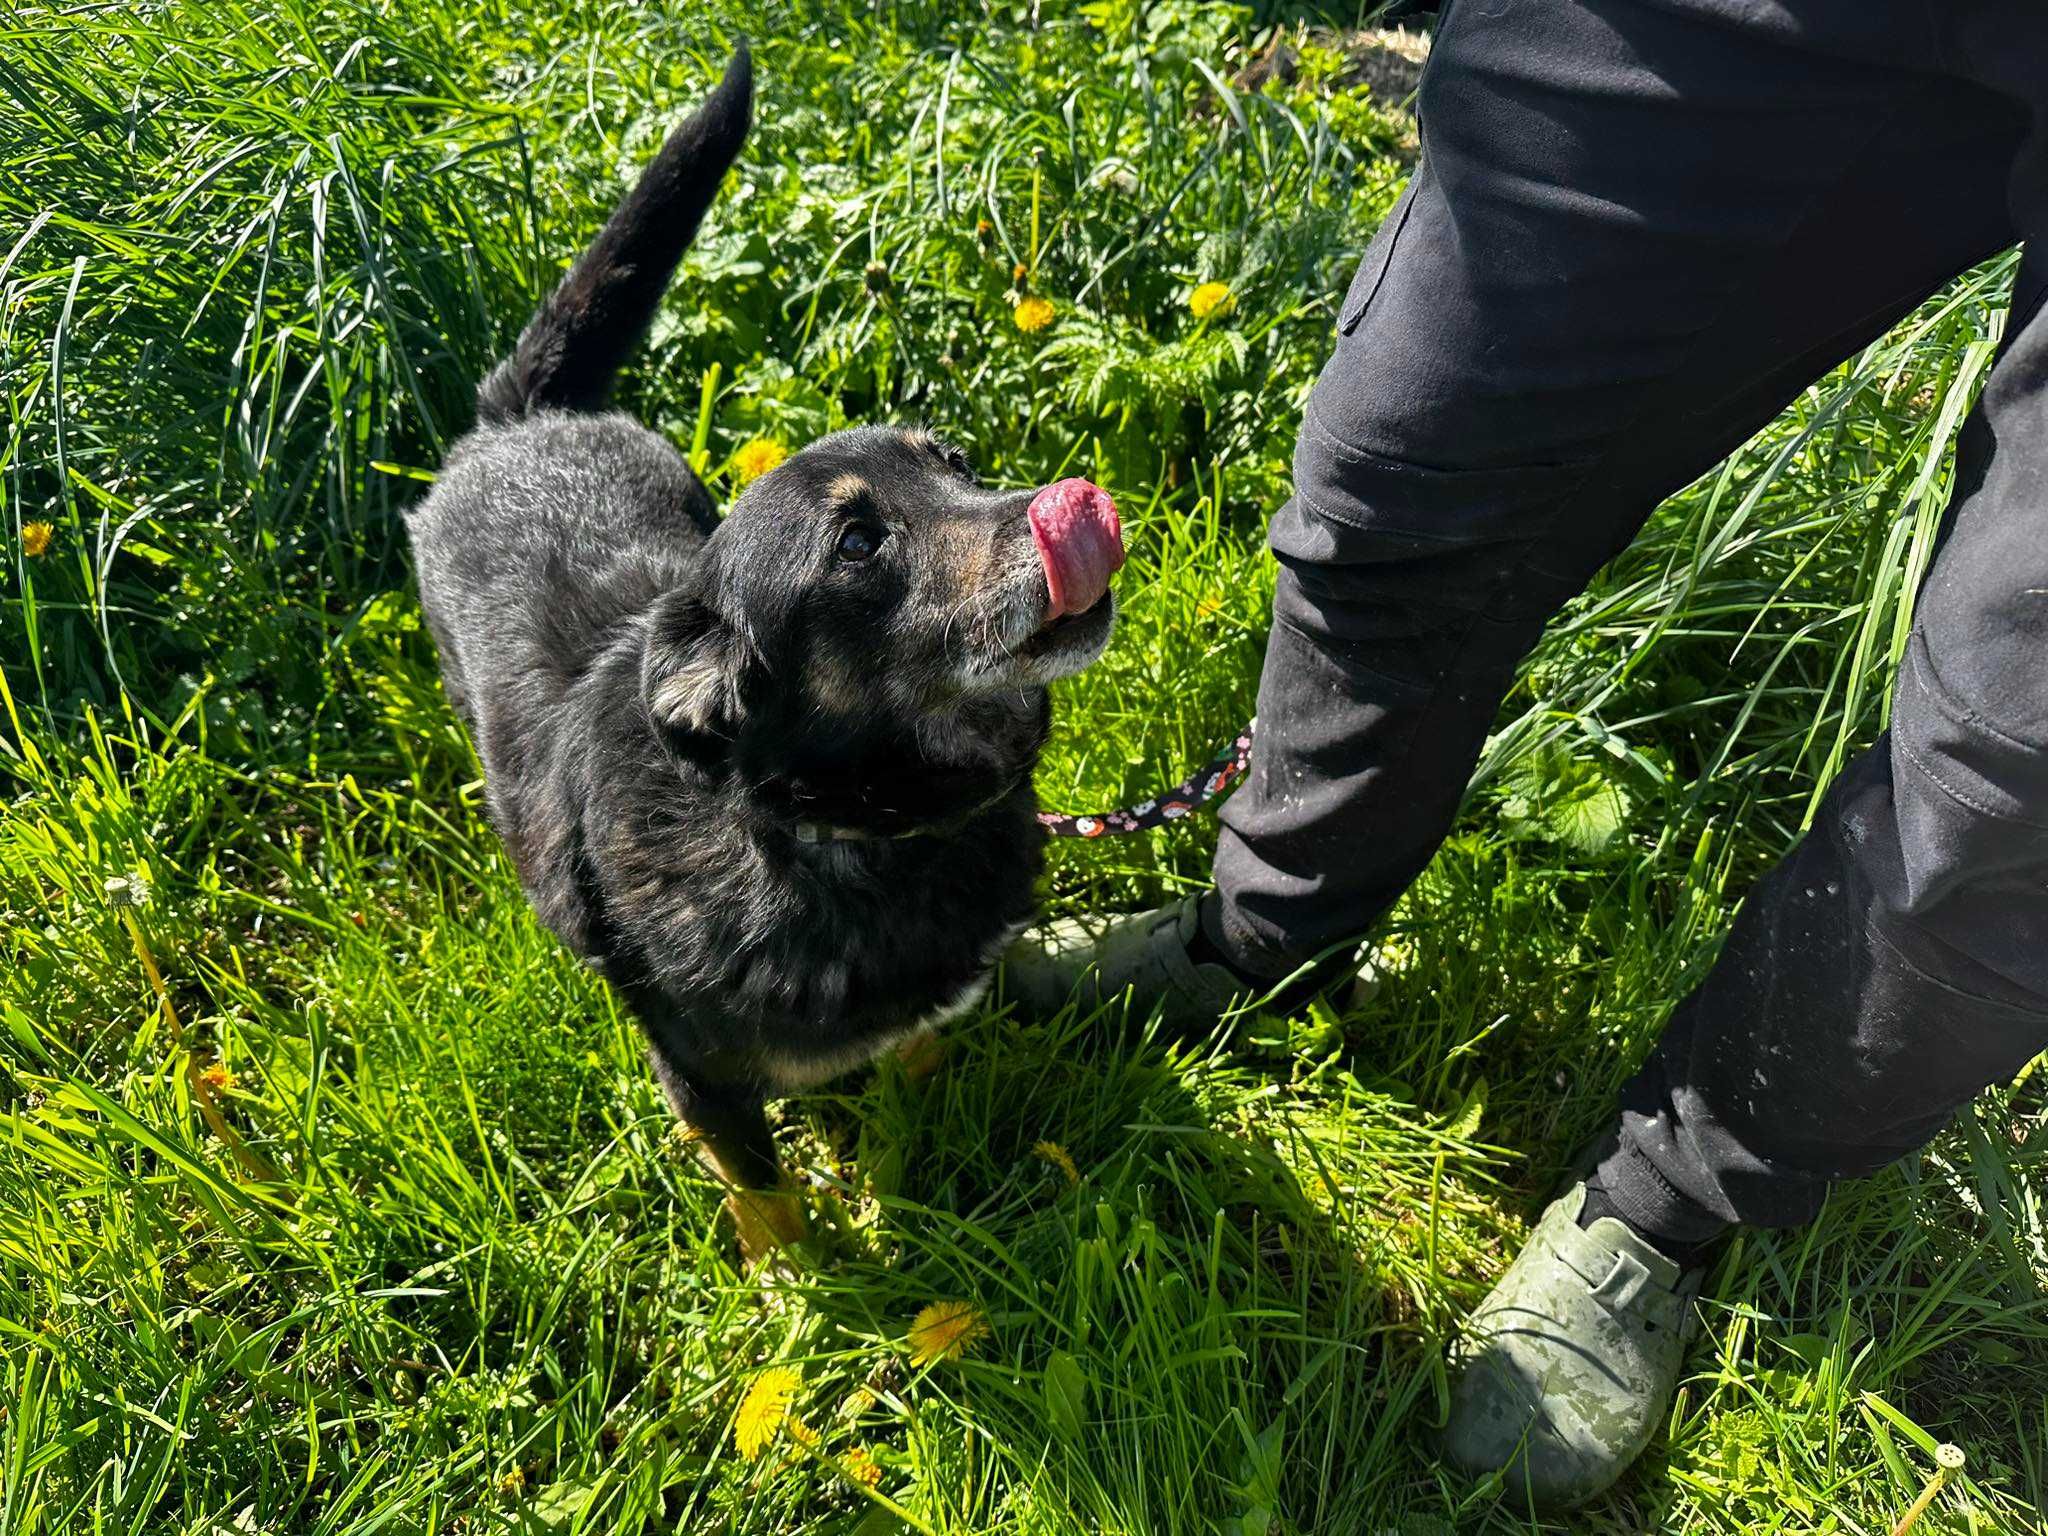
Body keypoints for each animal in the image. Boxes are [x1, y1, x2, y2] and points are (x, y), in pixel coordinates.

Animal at [405, 48, 1130, 1261]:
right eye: (856, 543)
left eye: (956, 462)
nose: (1072, 503)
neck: (853, 832)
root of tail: (519, 421)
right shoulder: (699, 1082)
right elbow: (767, 1198)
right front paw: (806, 1284)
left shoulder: (923, 1013)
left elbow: (914, 1078)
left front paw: (906, 1175)